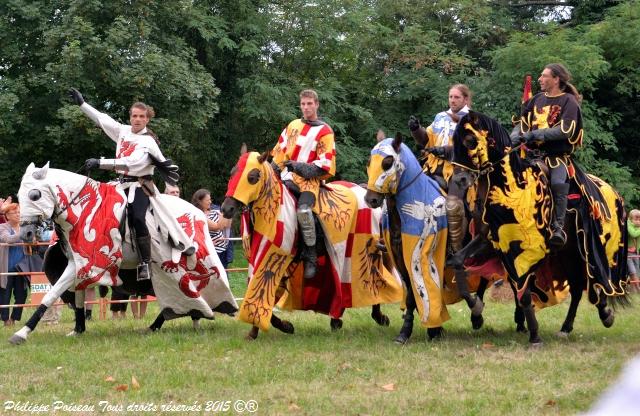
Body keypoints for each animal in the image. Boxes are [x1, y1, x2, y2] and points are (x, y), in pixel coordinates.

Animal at [8, 163, 239, 344]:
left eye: (35, 195)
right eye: (19, 196)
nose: (26, 233)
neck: (83, 209)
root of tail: (198, 213)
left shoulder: (88, 263)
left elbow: (51, 294)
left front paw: (22, 333)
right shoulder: (77, 263)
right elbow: (78, 295)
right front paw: (78, 328)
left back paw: (188, 319)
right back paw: (167, 323)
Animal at [220, 151, 400, 340]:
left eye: (252, 177)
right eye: (232, 173)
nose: (226, 209)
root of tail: (364, 189)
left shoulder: (278, 256)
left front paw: (276, 326)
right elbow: (261, 290)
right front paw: (266, 329)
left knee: (374, 279)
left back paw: (379, 316)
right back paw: (336, 320)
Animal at [448, 111, 628, 344]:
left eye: (470, 140)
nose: (459, 179)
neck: (513, 187)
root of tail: (613, 193)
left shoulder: (528, 249)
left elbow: (523, 291)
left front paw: (533, 334)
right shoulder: (490, 241)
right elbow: (458, 260)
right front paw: (477, 310)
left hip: (590, 250)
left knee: (598, 278)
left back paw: (604, 313)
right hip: (568, 253)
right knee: (578, 288)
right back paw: (569, 326)